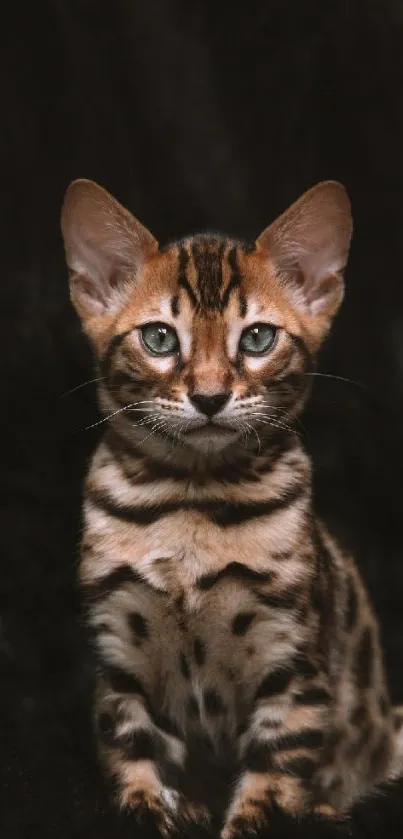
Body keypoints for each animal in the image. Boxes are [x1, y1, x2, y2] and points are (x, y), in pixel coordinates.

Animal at [60, 180, 403, 836]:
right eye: (160, 338)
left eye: (258, 338)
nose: (211, 396)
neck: (191, 503)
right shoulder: (117, 655)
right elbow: (131, 751)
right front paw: (153, 808)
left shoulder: (293, 666)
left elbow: (270, 784)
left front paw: (248, 816)